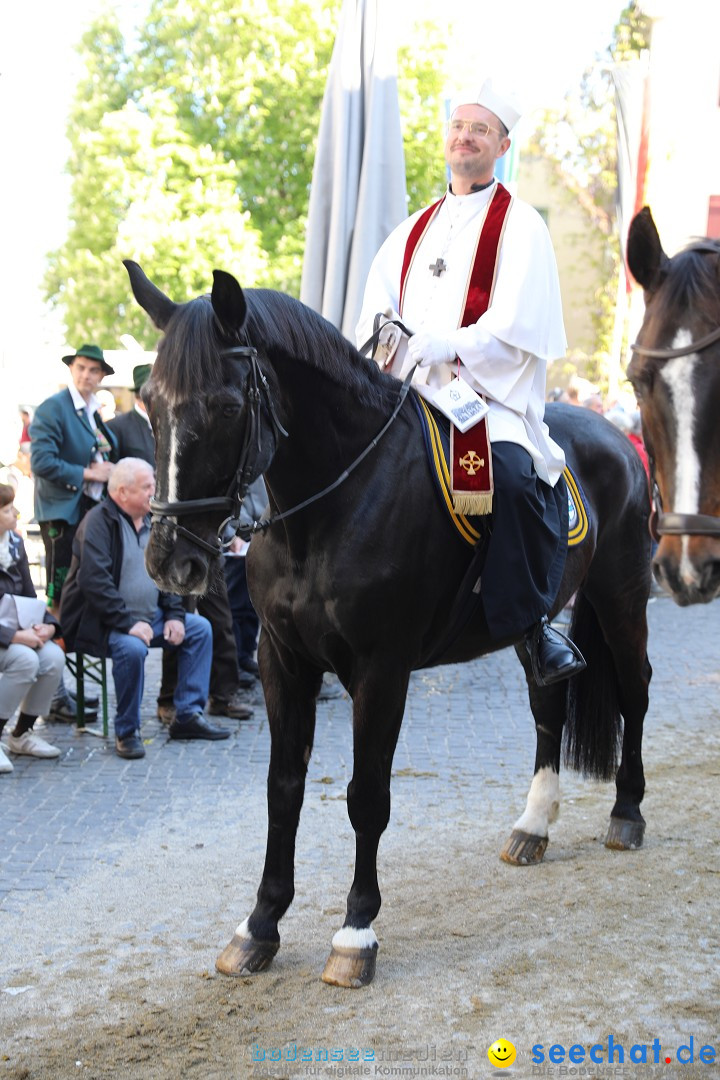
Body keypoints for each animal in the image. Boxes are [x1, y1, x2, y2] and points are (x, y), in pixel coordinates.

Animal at [122, 259, 651, 989]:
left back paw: (627, 812)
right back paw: (533, 825)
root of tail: (619, 439)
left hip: (623, 598)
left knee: (633, 693)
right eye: (150, 404)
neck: (329, 508)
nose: (172, 559)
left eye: (228, 406)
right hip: (537, 621)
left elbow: (366, 795)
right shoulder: (283, 660)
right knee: (550, 701)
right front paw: (260, 924)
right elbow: (282, 789)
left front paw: (356, 931)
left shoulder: (381, 668)